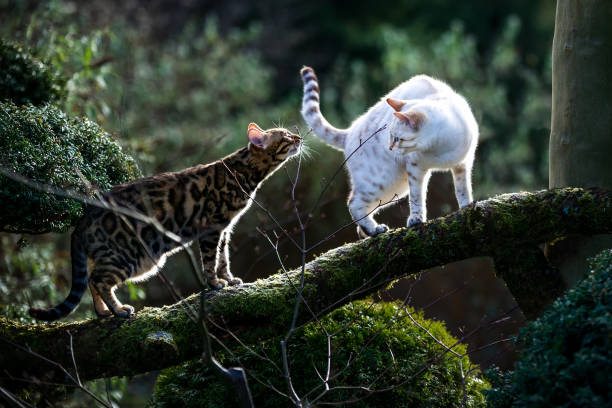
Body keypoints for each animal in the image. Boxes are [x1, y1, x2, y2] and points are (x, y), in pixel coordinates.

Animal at [29, 122, 302, 320]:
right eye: (286, 136)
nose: (299, 137)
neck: (244, 173)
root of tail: (83, 220)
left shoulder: (225, 229)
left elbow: (223, 258)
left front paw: (229, 279)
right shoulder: (211, 227)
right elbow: (210, 260)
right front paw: (214, 283)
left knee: (91, 279)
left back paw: (104, 312)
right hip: (128, 255)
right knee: (98, 279)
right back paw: (118, 310)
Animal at [302, 66, 478, 237]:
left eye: (397, 139)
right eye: (390, 136)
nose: (390, 148)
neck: (441, 148)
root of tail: (349, 132)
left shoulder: (463, 164)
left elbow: (462, 189)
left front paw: (466, 207)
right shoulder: (415, 168)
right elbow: (417, 198)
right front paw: (416, 220)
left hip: (396, 185)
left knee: (360, 218)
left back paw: (368, 234)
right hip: (382, 181)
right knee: (353, 203)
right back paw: (375, 230)